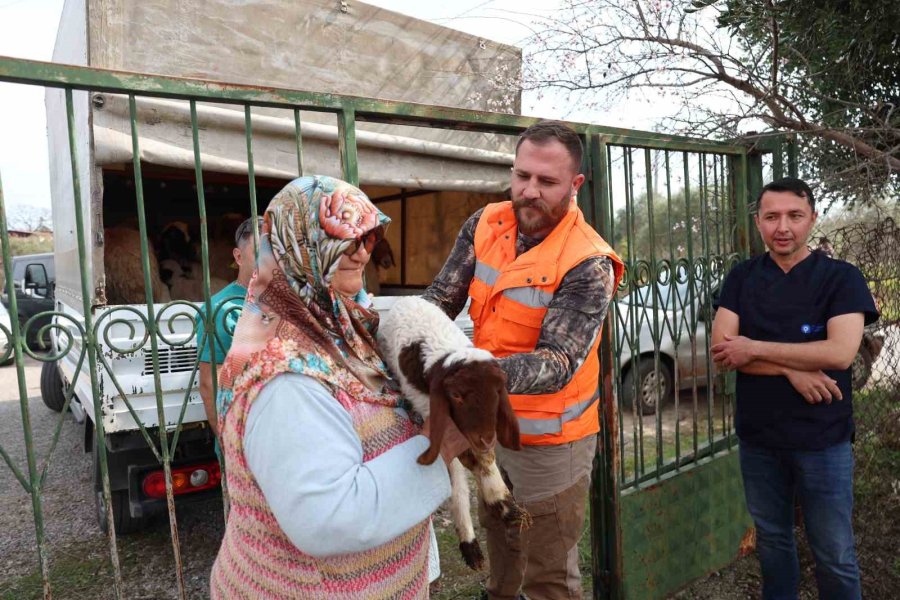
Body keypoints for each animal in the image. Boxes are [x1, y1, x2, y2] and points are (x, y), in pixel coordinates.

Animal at [376, 298, 532, 568]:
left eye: (498, 392)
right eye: (456, 396)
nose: (487, 438)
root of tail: (406, 299)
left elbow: (483, 460)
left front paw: (505, 505)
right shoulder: (434, 414)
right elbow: (465, 468)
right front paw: (501, 503)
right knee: (457, 483)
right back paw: (470, 545)